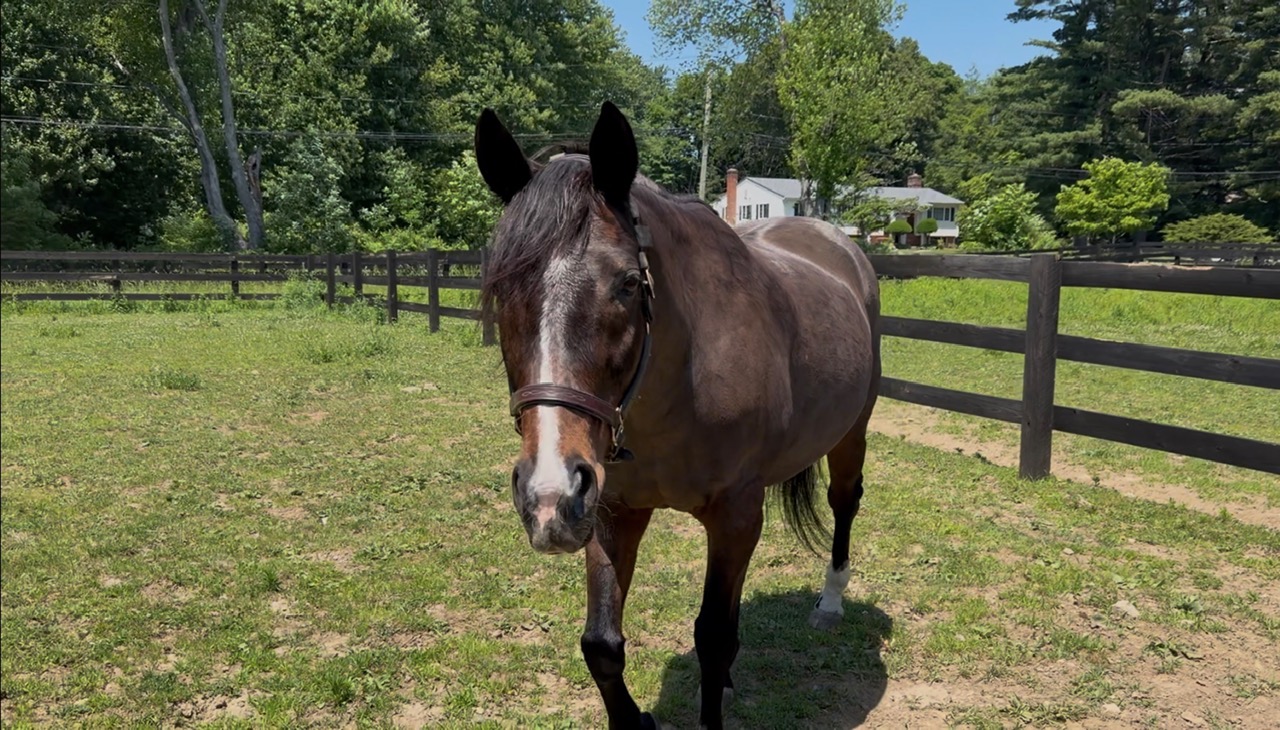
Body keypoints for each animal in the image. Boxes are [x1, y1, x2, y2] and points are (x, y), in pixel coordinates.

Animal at [473, 101, 881, 730]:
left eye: (626, 283)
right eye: (500, 287)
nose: (547, 495)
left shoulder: (735, 515)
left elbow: (713, 638)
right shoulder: (610, 511)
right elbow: (602, 645)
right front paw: (636, 719)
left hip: (851, 432)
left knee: (844, 503)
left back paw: (831, 601)